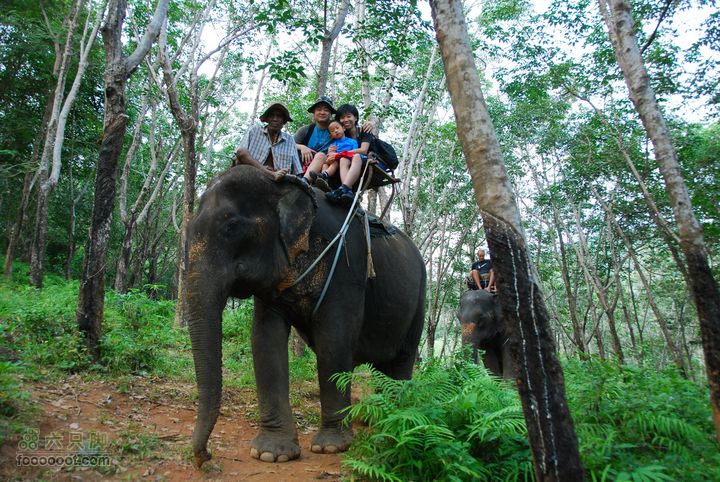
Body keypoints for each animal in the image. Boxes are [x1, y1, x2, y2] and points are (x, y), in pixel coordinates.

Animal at [186, 165, 426, 467]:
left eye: (230, 228)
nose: (204, 457)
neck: (279, 184)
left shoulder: (346, 267)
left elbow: (334, 340)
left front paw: (331, 447)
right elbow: (264, 339)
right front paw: (271, 453)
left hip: (419, 299)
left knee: (403, 359)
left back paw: (394, 420)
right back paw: (375, 418)